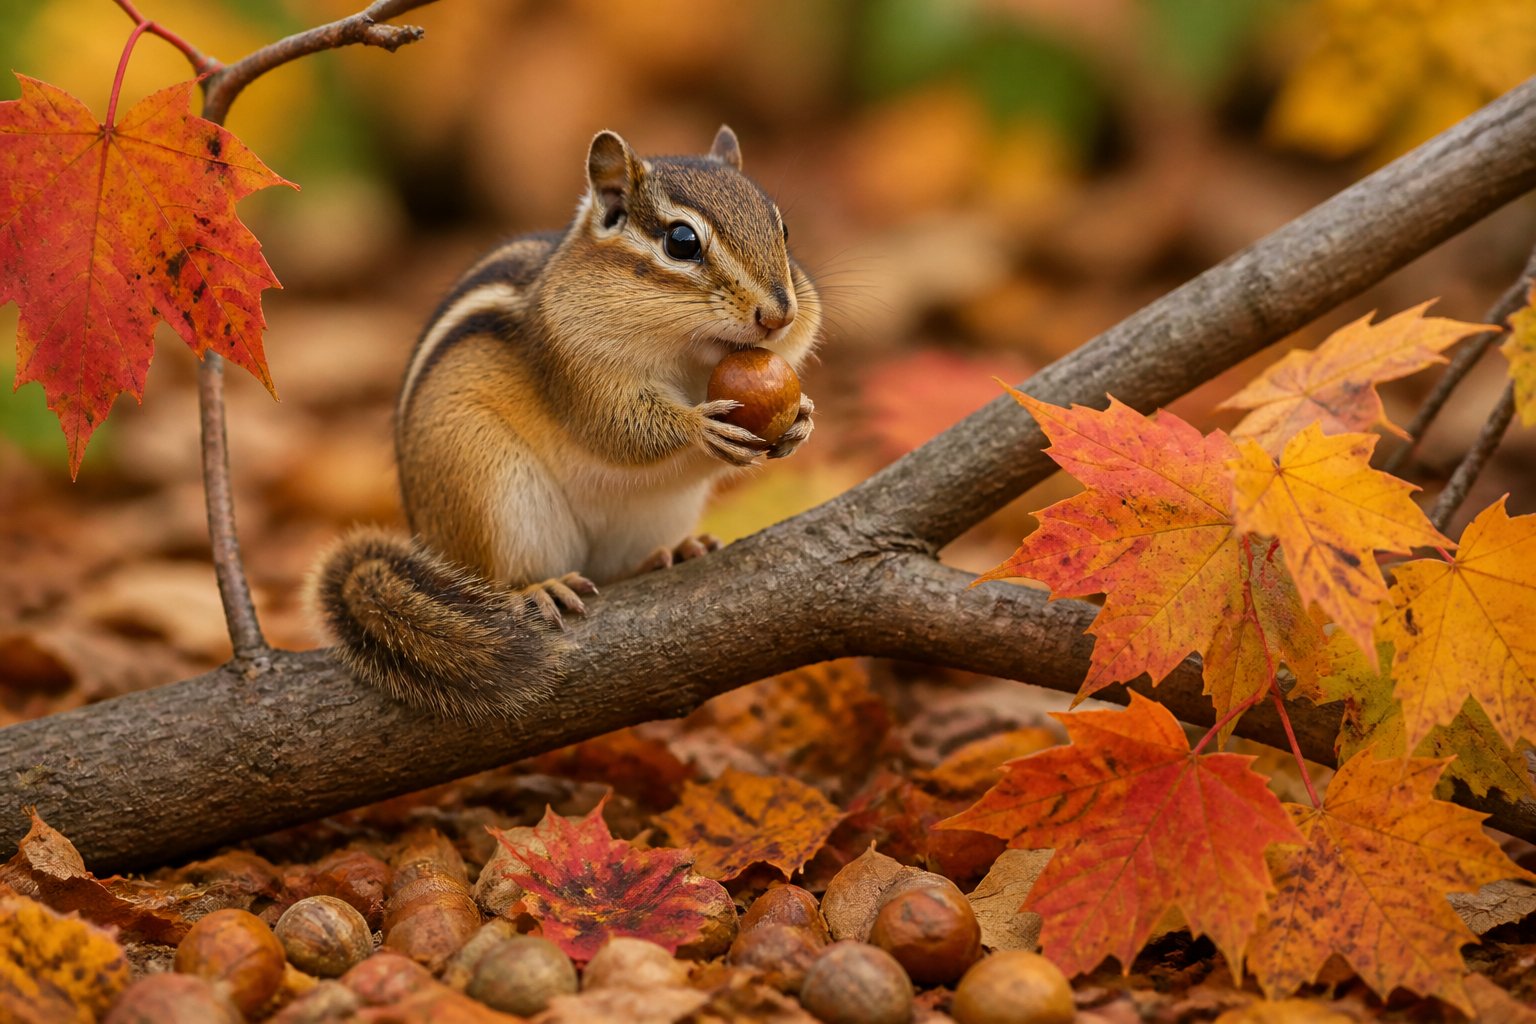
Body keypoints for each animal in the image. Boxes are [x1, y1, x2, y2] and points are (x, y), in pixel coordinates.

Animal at [309, 126, 820, 721]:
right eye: (681, 242)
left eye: (783, 229)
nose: (780, 315)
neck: (692, 357)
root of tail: (428, 543)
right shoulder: (571, 361)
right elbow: (618, 428)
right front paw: (699, 429)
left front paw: (801, 421)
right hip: (487, 489)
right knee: (494, 576)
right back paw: (535, 589)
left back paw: (672, 553)